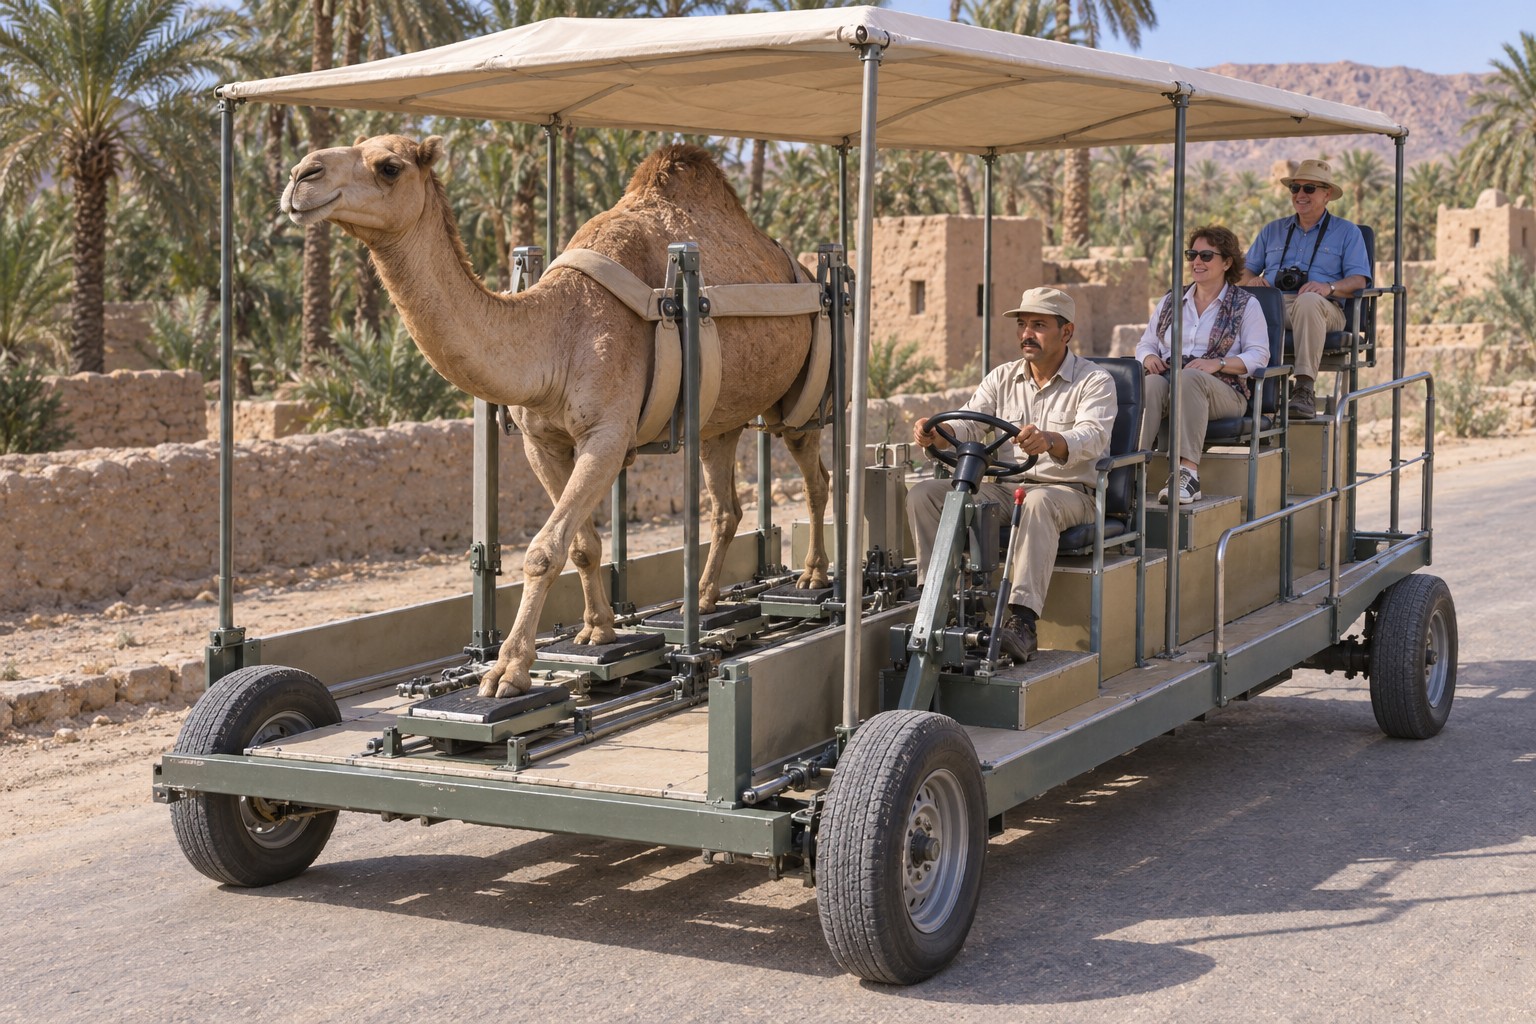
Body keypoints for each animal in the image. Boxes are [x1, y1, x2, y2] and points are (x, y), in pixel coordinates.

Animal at [282, 134, 830, 697]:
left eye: (389, 167)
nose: (302, 176)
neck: (558, 334)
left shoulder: (607, 435)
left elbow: (544, 550)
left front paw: (506, 671)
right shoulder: (541, 442)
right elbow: (583, 543)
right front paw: (597, 631)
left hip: (806, 394)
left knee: (816, 477)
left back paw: (813, 578)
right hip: (721, 420)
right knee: (726, 506)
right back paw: (700, 599)